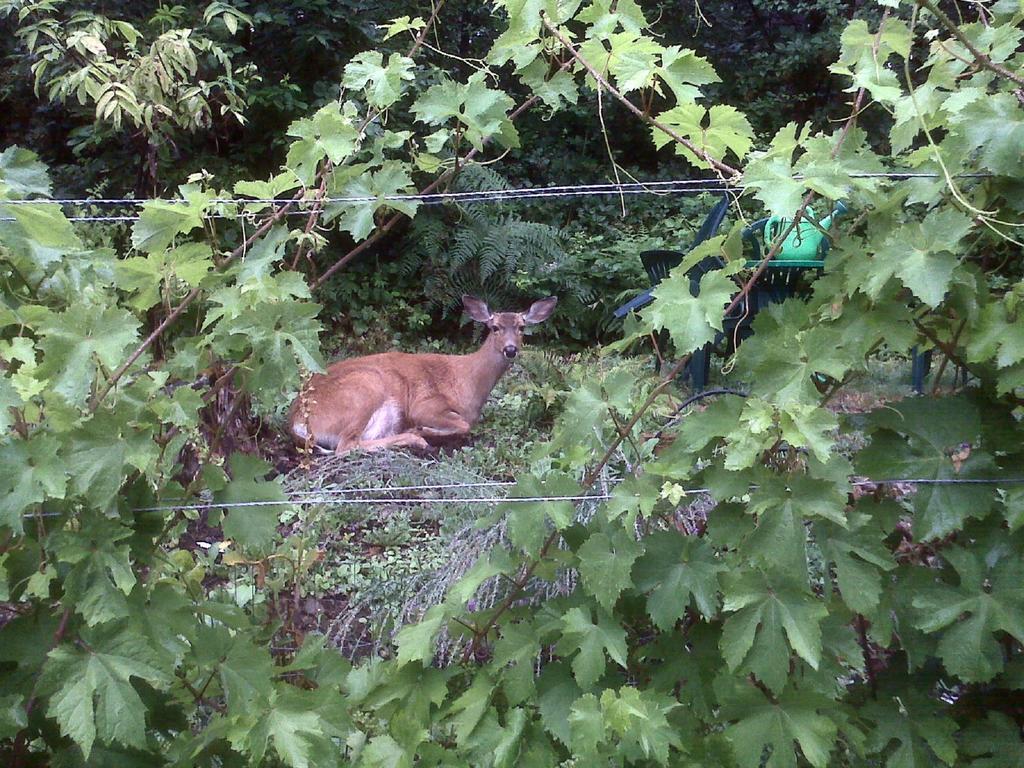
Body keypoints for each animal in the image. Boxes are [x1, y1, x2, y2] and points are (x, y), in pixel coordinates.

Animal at [288, 292, 561, 450]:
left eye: (522, 327)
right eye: (494, 327)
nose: (510, 349)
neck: (468, 382)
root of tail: (297, 422)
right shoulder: (425, 404)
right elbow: (463, 425)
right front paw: (422, 430)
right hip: (364, 389)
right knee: (346, 445)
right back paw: (416, 438)